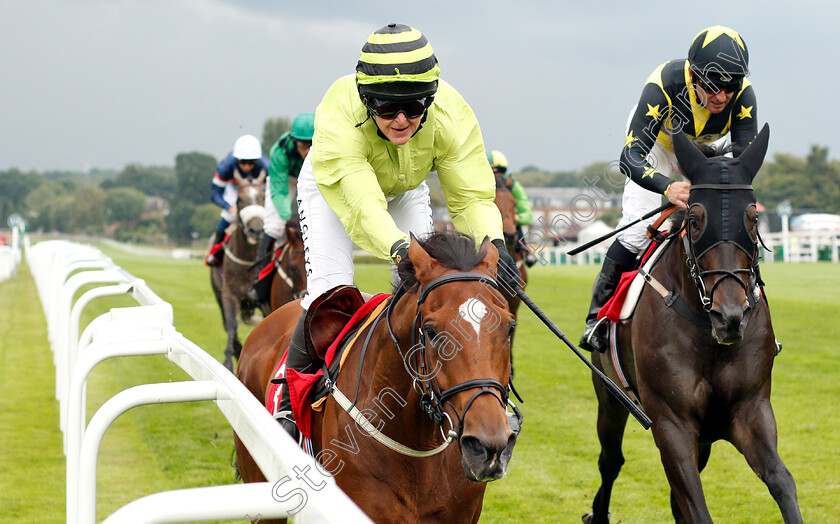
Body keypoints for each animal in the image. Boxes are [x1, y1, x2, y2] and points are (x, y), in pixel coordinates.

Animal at [210, 170, 270, 370]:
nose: (256, 230)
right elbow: (231, 325)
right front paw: (228, 361)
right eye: (240, 199)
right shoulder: (229, 294)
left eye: (263, 197)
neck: (249, 261)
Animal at [584, 124, 800, 524]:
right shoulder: (673, 424)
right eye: (696, 220)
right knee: (611, 460)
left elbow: (782, 481)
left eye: (754, 219)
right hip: (609, 396)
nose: (730, 317)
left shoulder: (750, 410)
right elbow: (695, 506)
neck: (708, 336)